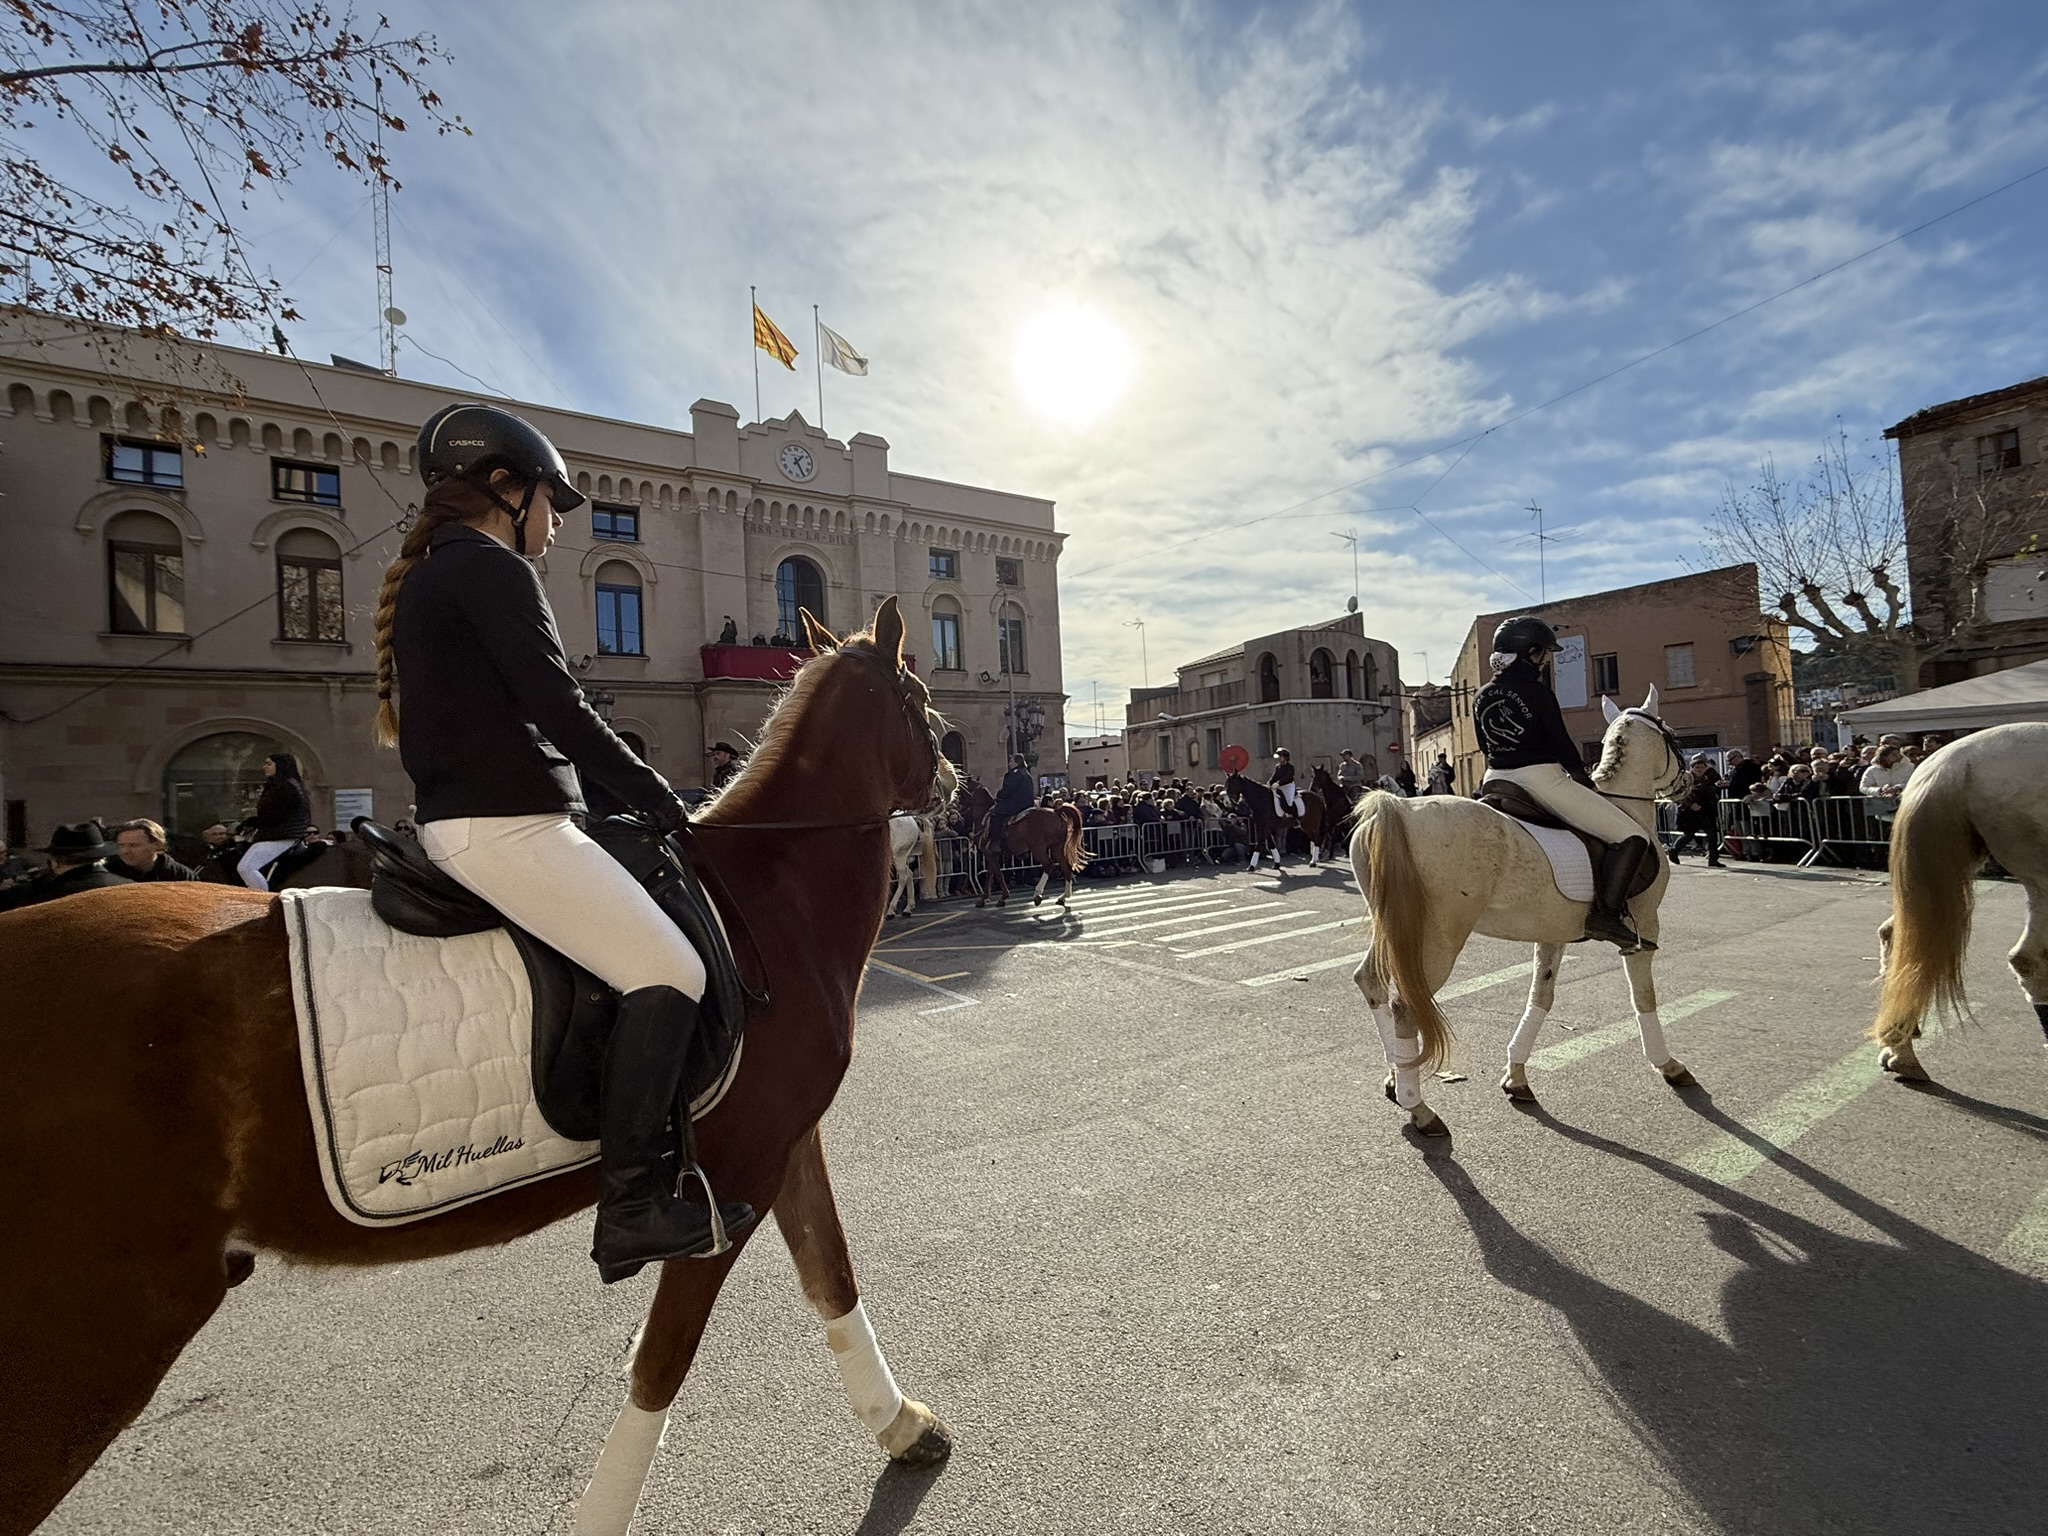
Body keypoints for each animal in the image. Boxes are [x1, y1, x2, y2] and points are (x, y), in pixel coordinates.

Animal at [0, 602, 958, 1536]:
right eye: (923, 704)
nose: (950, 778)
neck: (765, 896)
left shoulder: (780, 1142)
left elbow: (830, 1271)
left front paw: (902, 1425)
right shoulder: (738, 1172)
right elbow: (662, 1363)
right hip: (95, 1337)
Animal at [954, 786, 1089, 909]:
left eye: (959, 792)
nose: (958, 809)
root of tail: (1056, 812)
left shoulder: (989, 853)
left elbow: (996, 874)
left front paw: (999, 897)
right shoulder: (992, 853)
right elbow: (991, 874)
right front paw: (987, 898)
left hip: (1038, 848)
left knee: (1049, 864)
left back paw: (1037, 895)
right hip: (1056, 847)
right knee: (1066, 866)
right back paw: (1063, 897)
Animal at [1343, 692, 1695, 1138]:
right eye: (1672, 737)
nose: (1688, 782)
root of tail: (1397, 809)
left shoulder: (1554, 933)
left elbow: (1540, 997)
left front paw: (1516, 1077)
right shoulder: (1643, 930)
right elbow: (1644, 998)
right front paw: (1669, 1066)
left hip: (1393, 926)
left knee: (1371, 982)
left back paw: (1396, 1077)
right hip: (1439, 936)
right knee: (1405, 1005)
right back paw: (1419, 1109)